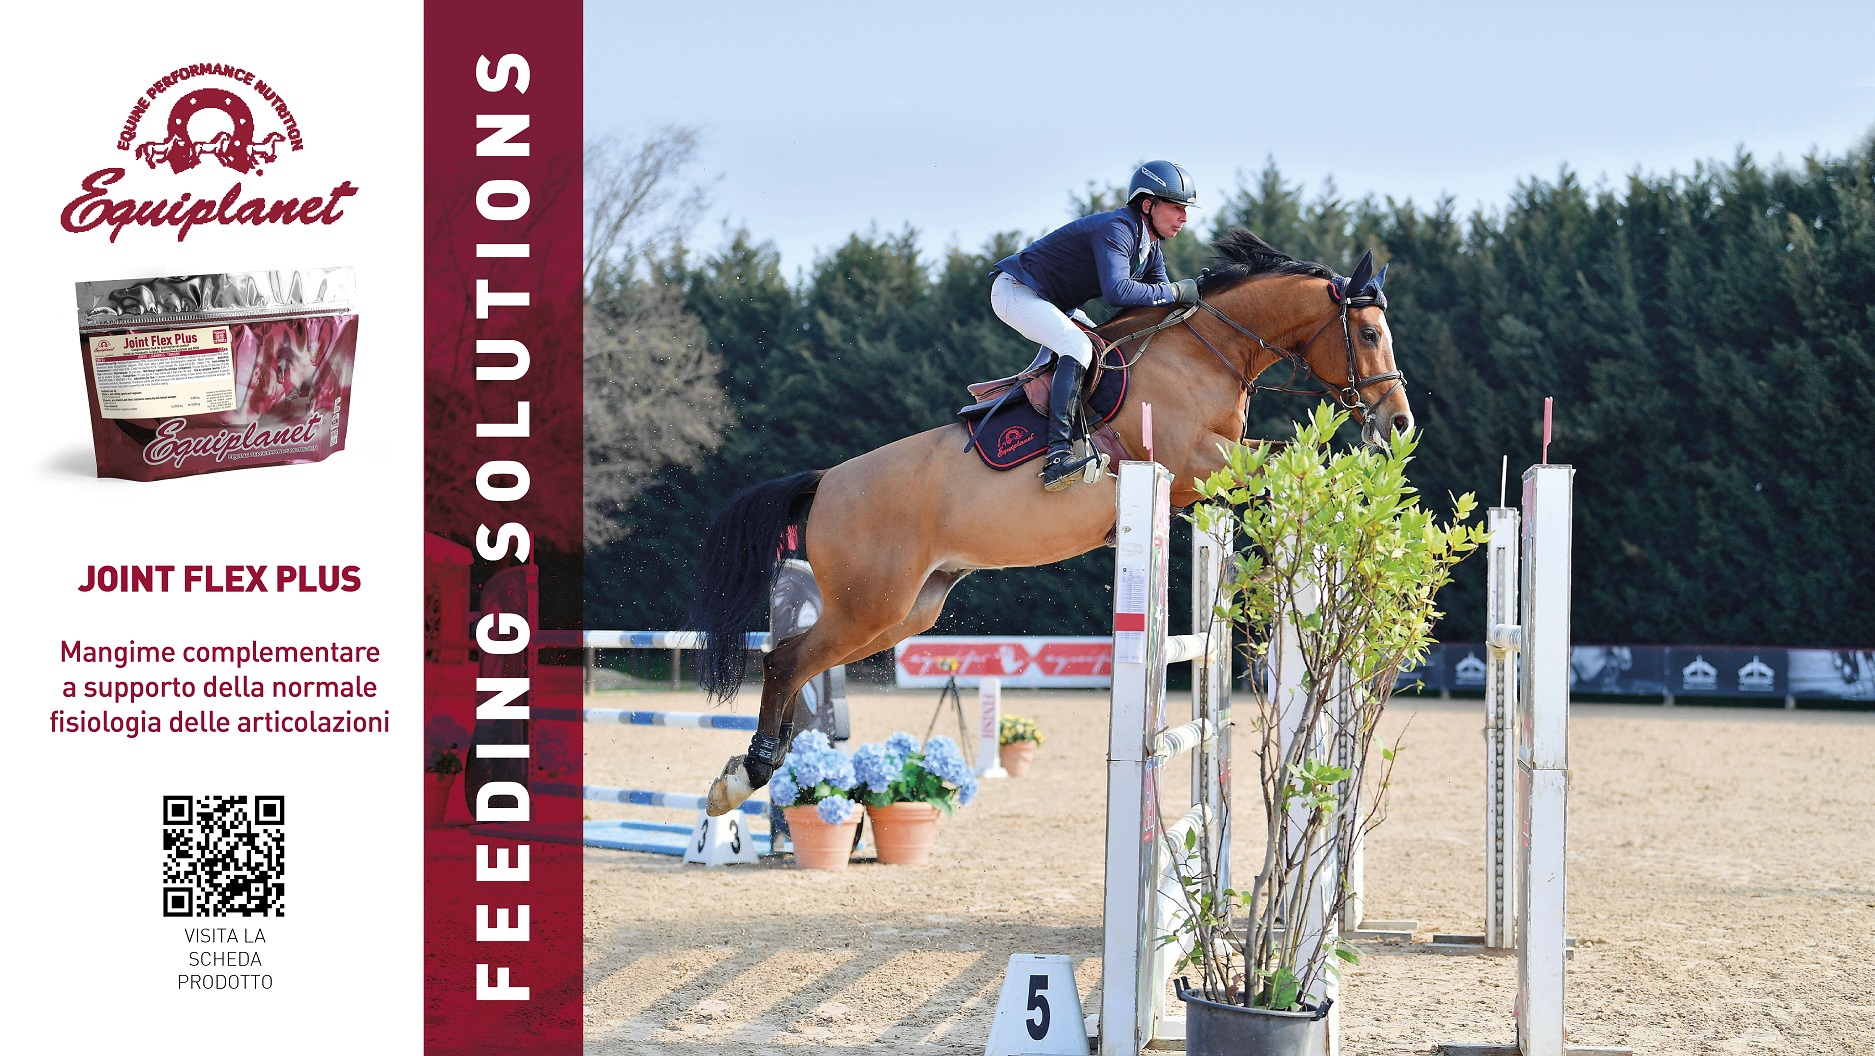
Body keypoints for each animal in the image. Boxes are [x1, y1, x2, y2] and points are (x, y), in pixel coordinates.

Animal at [689, 228, 1413, 816]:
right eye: (1369, 334)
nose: (1398, 423)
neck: (1209, 351)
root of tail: (825, 482)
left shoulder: (1201, 475)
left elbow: (1286, 458)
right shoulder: (1191, 461)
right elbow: (1276, 463)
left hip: (907, 609)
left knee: (798, 662)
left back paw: (760, 767)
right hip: (869, 602)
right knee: (785, 659)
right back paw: (746, 775)